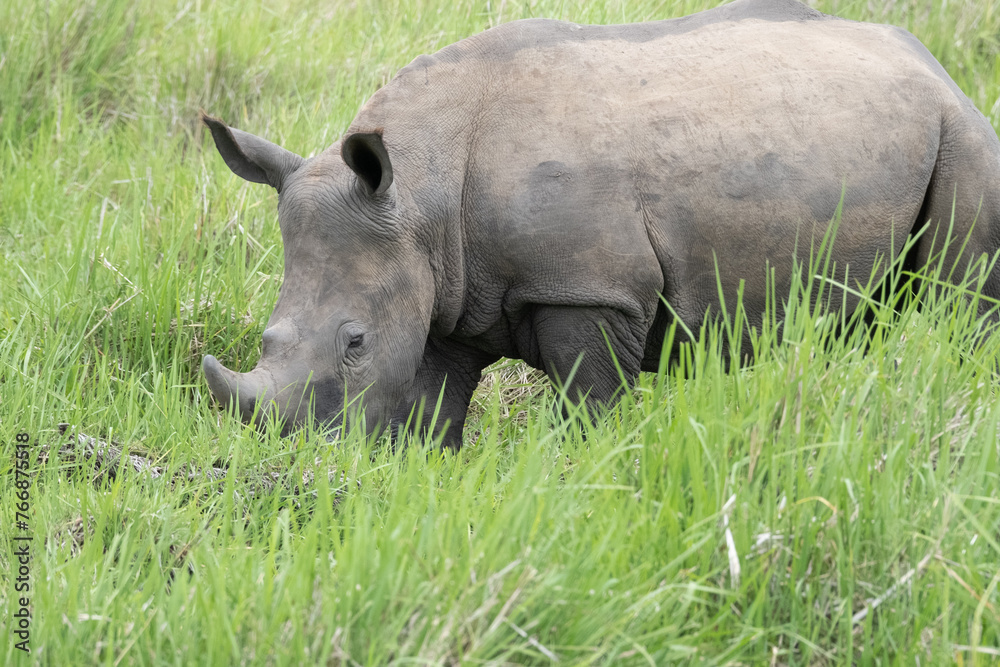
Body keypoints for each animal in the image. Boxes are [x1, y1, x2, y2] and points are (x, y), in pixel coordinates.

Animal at [201, 0, 1000, 447]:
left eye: (355, 343)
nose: (297, 455)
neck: (421, 189)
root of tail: (931, 61)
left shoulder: (589, 287)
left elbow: (587, 405)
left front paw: (576, 482)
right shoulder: (444, 289)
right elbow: (430, 409)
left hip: (962, 134)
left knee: (960, 303)